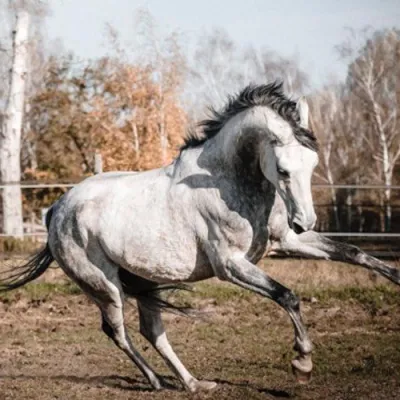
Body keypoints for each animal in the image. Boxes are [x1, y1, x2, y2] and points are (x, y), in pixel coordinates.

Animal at [1, 83, 398, 392]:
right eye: (283, 170)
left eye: (313, 165)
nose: (304, 221)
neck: (229, 181)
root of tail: (58, 208)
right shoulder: (231, 265)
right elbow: (287, 295)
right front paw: (302, 363)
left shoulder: (286, 242)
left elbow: (353, 252)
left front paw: (394, 277)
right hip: (104, 285)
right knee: (118, 331)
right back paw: (155, 381)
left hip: (144, 279)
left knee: (151, 330)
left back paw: (193, 384)